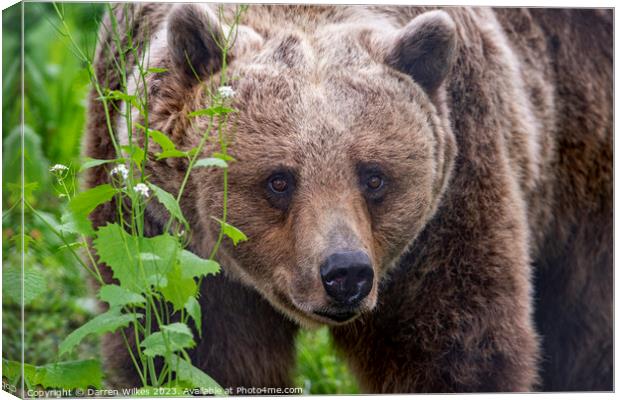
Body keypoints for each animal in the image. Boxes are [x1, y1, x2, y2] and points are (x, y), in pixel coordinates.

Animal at [85, 3, 612, 394]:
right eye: (280, 180)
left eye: (373, 177)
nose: (346, 273)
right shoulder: (165, 236)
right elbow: (188, 347)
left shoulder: (448, 210)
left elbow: (455, 349)